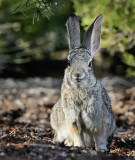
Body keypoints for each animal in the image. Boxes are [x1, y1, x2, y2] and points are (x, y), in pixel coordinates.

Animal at [50, 13, 115, 151]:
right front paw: (79, 146)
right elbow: (77, 132)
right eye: (69, 62)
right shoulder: (72, 117)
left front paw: (101, 149)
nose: (78, 75)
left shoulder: (99, 119)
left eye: (90, 64)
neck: (79, 88)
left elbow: (99, 136)